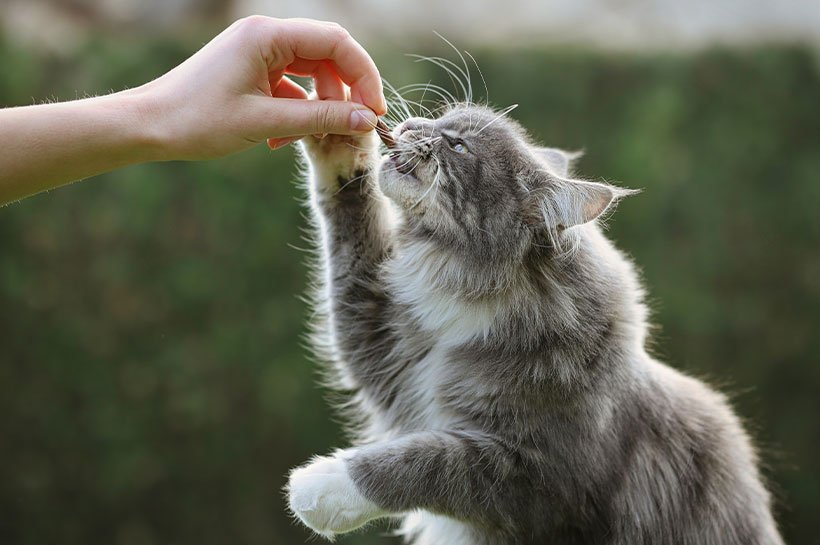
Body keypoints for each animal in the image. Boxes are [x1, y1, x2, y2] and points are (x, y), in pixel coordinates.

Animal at [286, 103, 784, 544]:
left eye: (459, 146)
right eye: (443, 118)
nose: (409, 124)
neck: (476, 302)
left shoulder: (541, 477)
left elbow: (426, 463)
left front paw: (323, 484)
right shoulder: (385, 346)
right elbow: (350, 225)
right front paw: (338, 138)